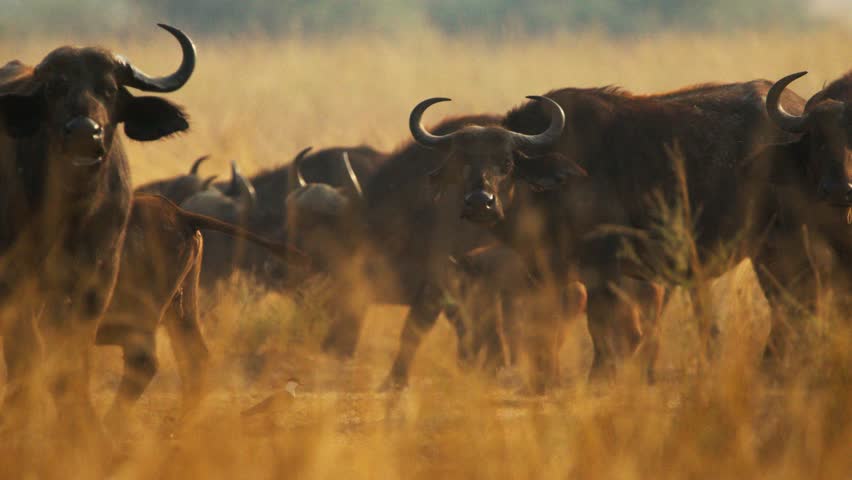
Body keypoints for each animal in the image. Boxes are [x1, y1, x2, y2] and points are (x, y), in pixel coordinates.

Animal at [0, 24, 195, 437]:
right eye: (55, 87)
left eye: (108, 88)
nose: (82, 132)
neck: (72, 211)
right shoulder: (12, 278)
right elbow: (26, 352)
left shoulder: (96, 283)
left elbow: (71, 355)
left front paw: (81, 423)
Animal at [405, 79, 812, 390]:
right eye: (461, 162)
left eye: (506, 162)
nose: (480, 202)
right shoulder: (549, 272)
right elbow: (547, 327)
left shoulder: (602, 268)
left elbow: (604, 326)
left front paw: (599, 377)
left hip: (780, 243)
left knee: (791, 304)